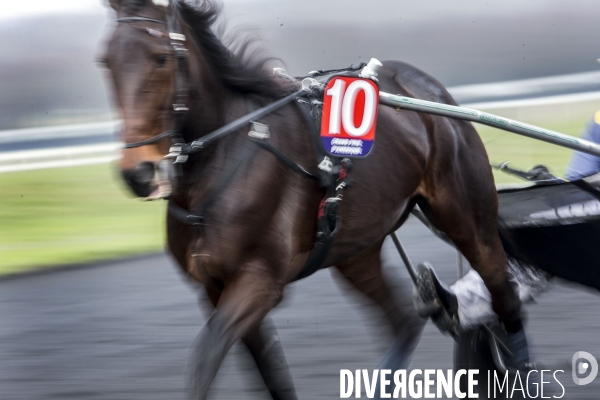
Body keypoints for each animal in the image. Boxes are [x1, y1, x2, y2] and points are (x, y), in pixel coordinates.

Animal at [101, 0, 528, 396]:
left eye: (160, 57)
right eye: (106, 61)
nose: (138, 173)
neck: (223, 156)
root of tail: (428, 88)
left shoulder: (260, 280)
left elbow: (205, 359)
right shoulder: (214, 288)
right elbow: (272, 376)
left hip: (467, 219)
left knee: (504, 295)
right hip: (355, 249)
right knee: (403, 321)